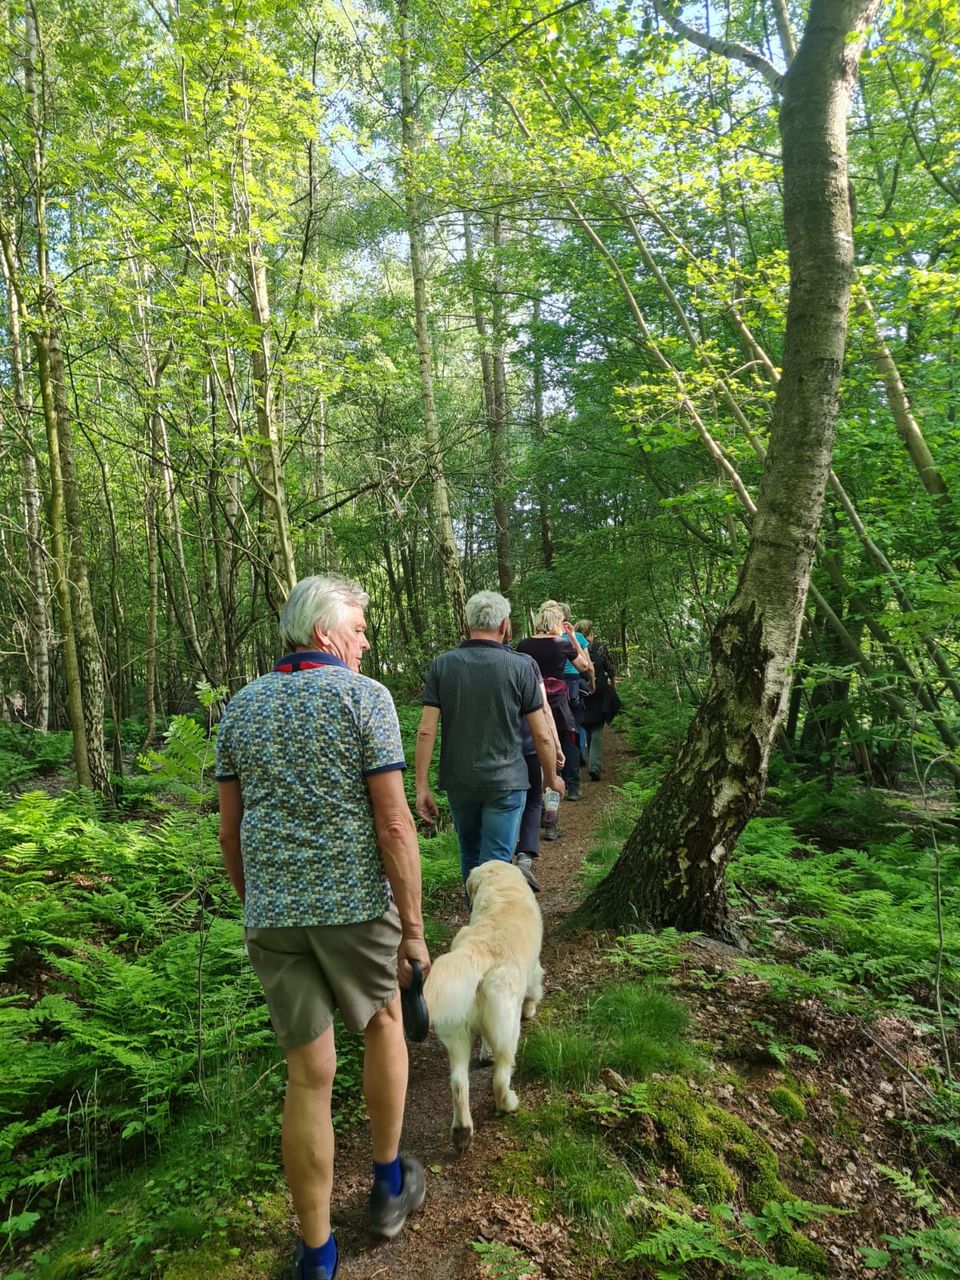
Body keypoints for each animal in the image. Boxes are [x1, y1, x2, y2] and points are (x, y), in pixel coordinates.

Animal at [423, 859, 544, 1154]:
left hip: (456, 1031)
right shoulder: (534, 968)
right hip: (507, 1028)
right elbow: (536, 986)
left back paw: (462, 1132)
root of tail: (477, 952)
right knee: (500, 1076)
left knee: (458, 1082)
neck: (501, 890)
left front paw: (483, 1053)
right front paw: (532, 1008)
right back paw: (508, 1103)